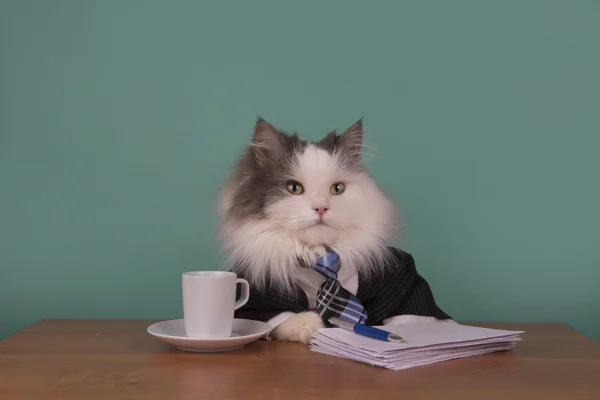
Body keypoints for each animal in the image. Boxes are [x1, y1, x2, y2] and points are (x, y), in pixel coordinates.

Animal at [216, 117, 450, 342]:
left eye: (337, 189)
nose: (321, 207)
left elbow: (411, 318)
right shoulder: (258, 292)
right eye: (294, 188)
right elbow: (277, 317)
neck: (321, 258)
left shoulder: (403, 278)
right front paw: (310, 325)